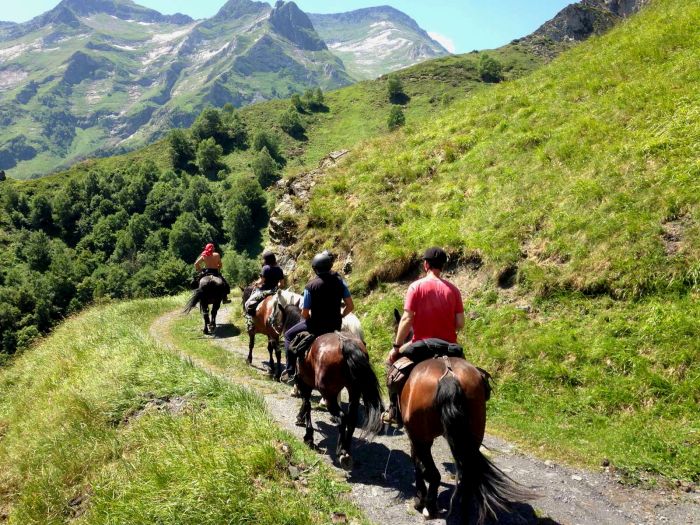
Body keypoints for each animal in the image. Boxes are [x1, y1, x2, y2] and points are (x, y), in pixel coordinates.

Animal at [284, 302, 382, 470]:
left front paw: (308, 436)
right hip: (354, 391)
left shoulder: (304, 383)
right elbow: (306, 404)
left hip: (329, 393)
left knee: (342, 418)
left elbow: (307, 404)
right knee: (351, 418)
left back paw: (341, 452)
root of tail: (346, 343)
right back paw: (346, 451)